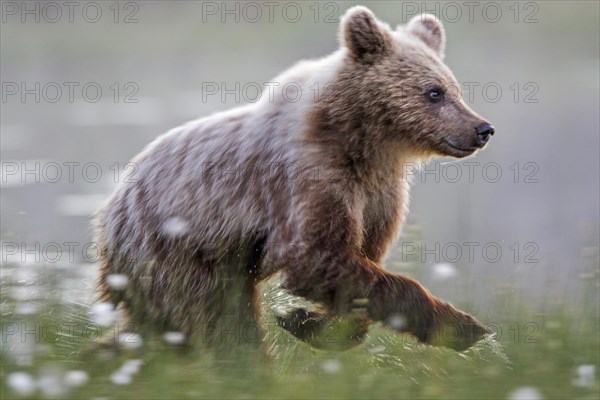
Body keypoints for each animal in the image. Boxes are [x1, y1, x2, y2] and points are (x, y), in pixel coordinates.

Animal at [96, 6, 494, 354]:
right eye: (434, 92)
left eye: (455, 89)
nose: (482, 129)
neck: (366, 143)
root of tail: (111, 210)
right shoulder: (310, 176)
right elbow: (314, 256)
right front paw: (465, 326)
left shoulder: (379, 195)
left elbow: (361, 267)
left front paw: (311, 322)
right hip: (178, 254)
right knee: (223, 328)